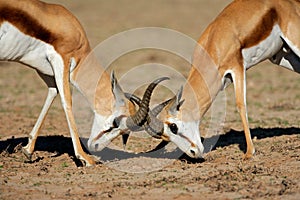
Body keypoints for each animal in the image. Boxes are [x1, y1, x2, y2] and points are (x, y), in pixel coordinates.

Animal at [0, 0, 159, 166]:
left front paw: (28, 150)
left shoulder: (46, 71)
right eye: (115, 123)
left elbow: (52, 93)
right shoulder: (61, 60)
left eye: (124, 132)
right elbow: (67, 101)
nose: (95, 147)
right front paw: (85, 158)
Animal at [141, 0, 300, 159]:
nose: (193, 153)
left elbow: (240, 104)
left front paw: (249, 152)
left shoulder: (237, 67)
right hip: (282, 57)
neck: (214, 42)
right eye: (166, 137)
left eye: (173, 126)